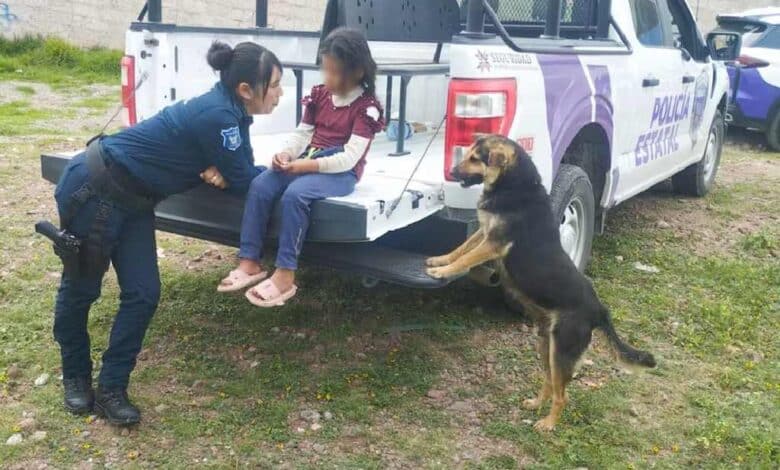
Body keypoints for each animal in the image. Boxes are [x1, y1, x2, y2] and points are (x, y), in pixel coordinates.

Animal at [424, 134, 656, 432]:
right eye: (468, 155)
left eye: (476, 159)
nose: (451, 173)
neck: (513, 185)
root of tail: (600, 310)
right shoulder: (484, 233)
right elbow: (460, 249)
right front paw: (440, 261)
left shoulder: (493, 243)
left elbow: (465, 258)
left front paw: (443, 272)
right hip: (546, 345)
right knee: (549, 382)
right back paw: (535, 405)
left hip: (562, 351)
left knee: (563, 395)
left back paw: (548, 424)